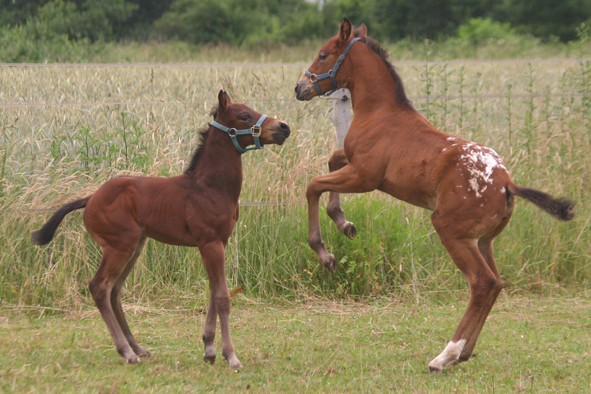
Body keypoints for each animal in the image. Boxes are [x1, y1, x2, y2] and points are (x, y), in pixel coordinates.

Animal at [32, 91, 292, 368]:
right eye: (244, 116)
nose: (283, 127)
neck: (210, 187)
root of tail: (90, 198)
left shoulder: (219, 243)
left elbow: (213, 292)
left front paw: (209, 349)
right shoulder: (209, 243)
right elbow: (222, 297)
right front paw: (230, 356)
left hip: (135, 246)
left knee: (114, 290)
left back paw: (137, 347)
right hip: (119, 246)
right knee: (100, 287)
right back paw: (127, 352)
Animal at [294, 17, 572, 370]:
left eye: (323, 54)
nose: (299, 88)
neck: (380, 112)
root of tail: (507, 183)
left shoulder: (364, 176)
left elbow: (314, 185)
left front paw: (327, 251)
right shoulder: (352, 163)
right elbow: (331, 160)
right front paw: (345, 224)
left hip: (450, 230)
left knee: (481, 282)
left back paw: (445, 355)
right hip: (483, 240)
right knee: (496, 283)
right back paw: (464, 351)